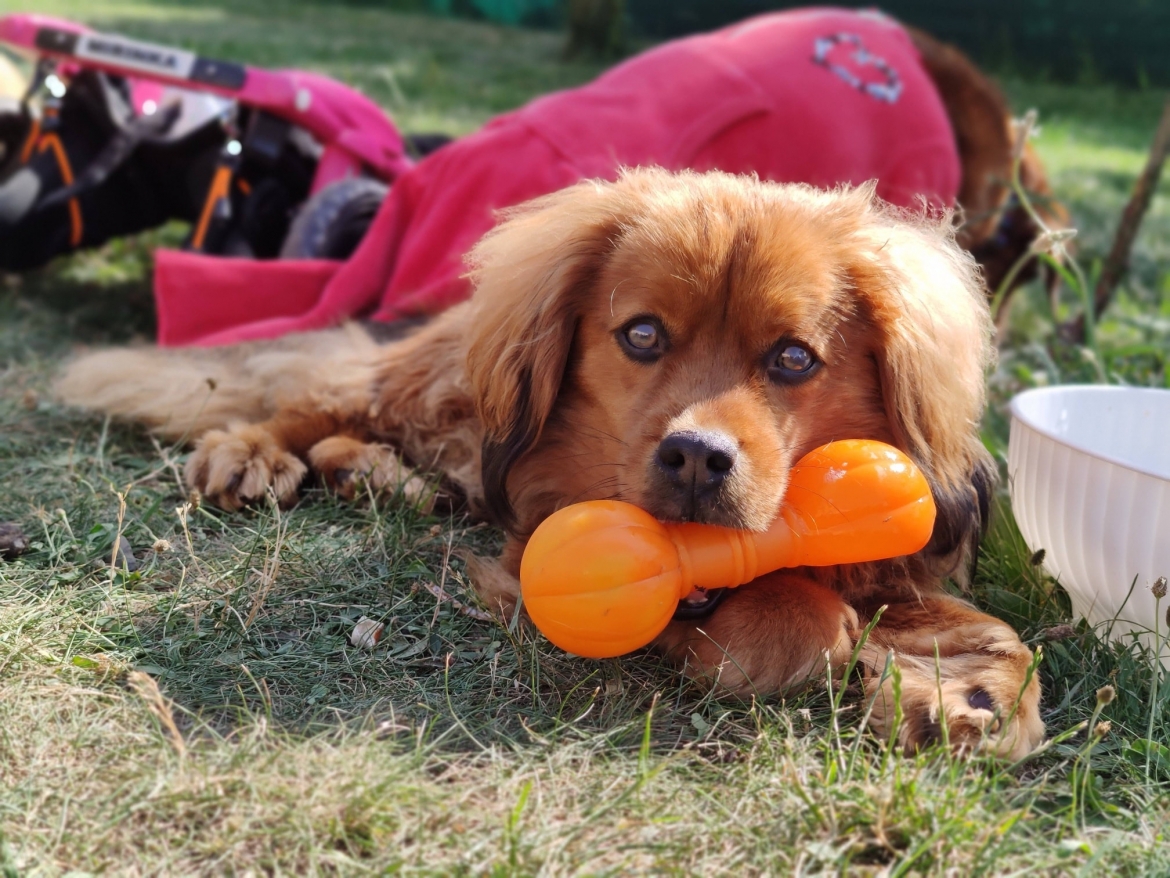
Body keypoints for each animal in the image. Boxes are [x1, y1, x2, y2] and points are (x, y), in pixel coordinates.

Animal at [57, 168, 1043, 758]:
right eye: (642, 335)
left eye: (795, 358)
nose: (696, 458)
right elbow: (804, 615)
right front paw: (788, 628)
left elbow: (997, 635)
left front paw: (971, 693)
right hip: (434, 379)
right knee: (316, 401)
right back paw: (252, 453)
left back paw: (382, 477)